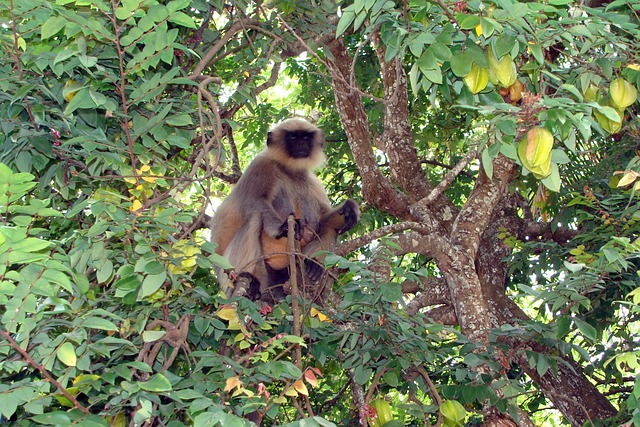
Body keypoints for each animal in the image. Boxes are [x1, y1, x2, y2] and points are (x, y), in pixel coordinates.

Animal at [211, 118, 358, 302]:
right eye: (293, 137)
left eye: (306, 137)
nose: (301, 143)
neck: (289, 171)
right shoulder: (261, 165)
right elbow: (255, 201)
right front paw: (283, 228)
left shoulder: (312, 182)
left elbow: (322, 221)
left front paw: (349, 209)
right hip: (236, 276)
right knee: (255, 217)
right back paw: (248, 281)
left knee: (330, 228)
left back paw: (312, 266)